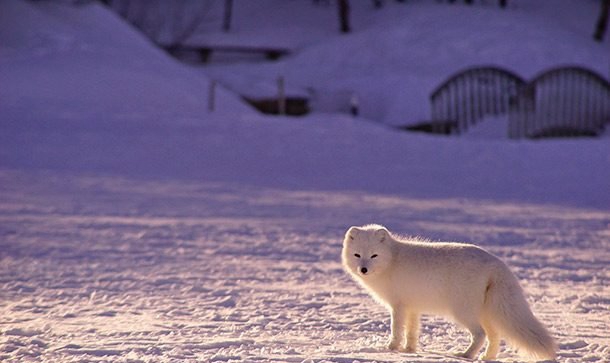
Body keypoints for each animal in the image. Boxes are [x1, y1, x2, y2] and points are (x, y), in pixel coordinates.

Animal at [342, 225, 556, 362]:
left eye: (374, 256)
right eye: (357, 255)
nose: (363, 269)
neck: (392, 260)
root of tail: (496, 263)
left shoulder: (399, 306)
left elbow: (396, 329)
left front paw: (390, 349)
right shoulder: (413, 307)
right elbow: (412, 331)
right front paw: (409, 351)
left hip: (463, 311)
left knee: (480, 334)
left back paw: (466, 355)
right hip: (486, 313)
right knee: (494, 336)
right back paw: (487, 357)